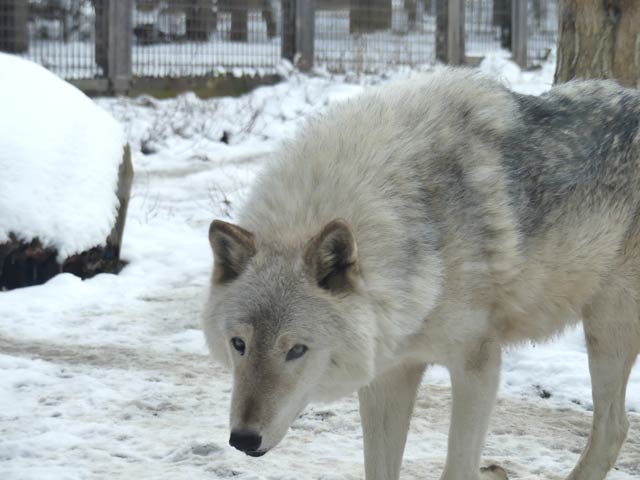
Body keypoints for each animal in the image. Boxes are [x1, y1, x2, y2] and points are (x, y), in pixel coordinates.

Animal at [204, 68, 640, 480]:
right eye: (239, 345)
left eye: (296, 350)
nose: (243, 439)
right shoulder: (388, 374)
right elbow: (379, 469)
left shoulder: (478, 365)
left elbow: (458, 468)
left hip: (607, 329)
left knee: (614, 428)